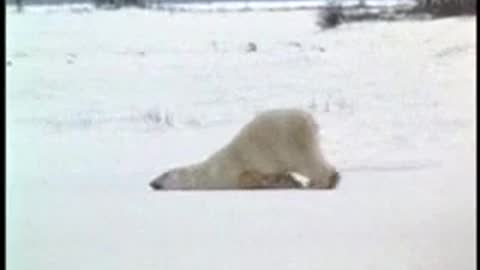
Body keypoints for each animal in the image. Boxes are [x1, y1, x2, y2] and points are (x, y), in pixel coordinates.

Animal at [148, 108, 340, 190]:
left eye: (163, 174)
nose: (151, 183)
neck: (206, 173)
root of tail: (309, 119)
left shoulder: (231, 174)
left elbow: (249, 177)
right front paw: (290, 181)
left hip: (288, 142)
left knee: (307, 162)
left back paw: (320, 182)